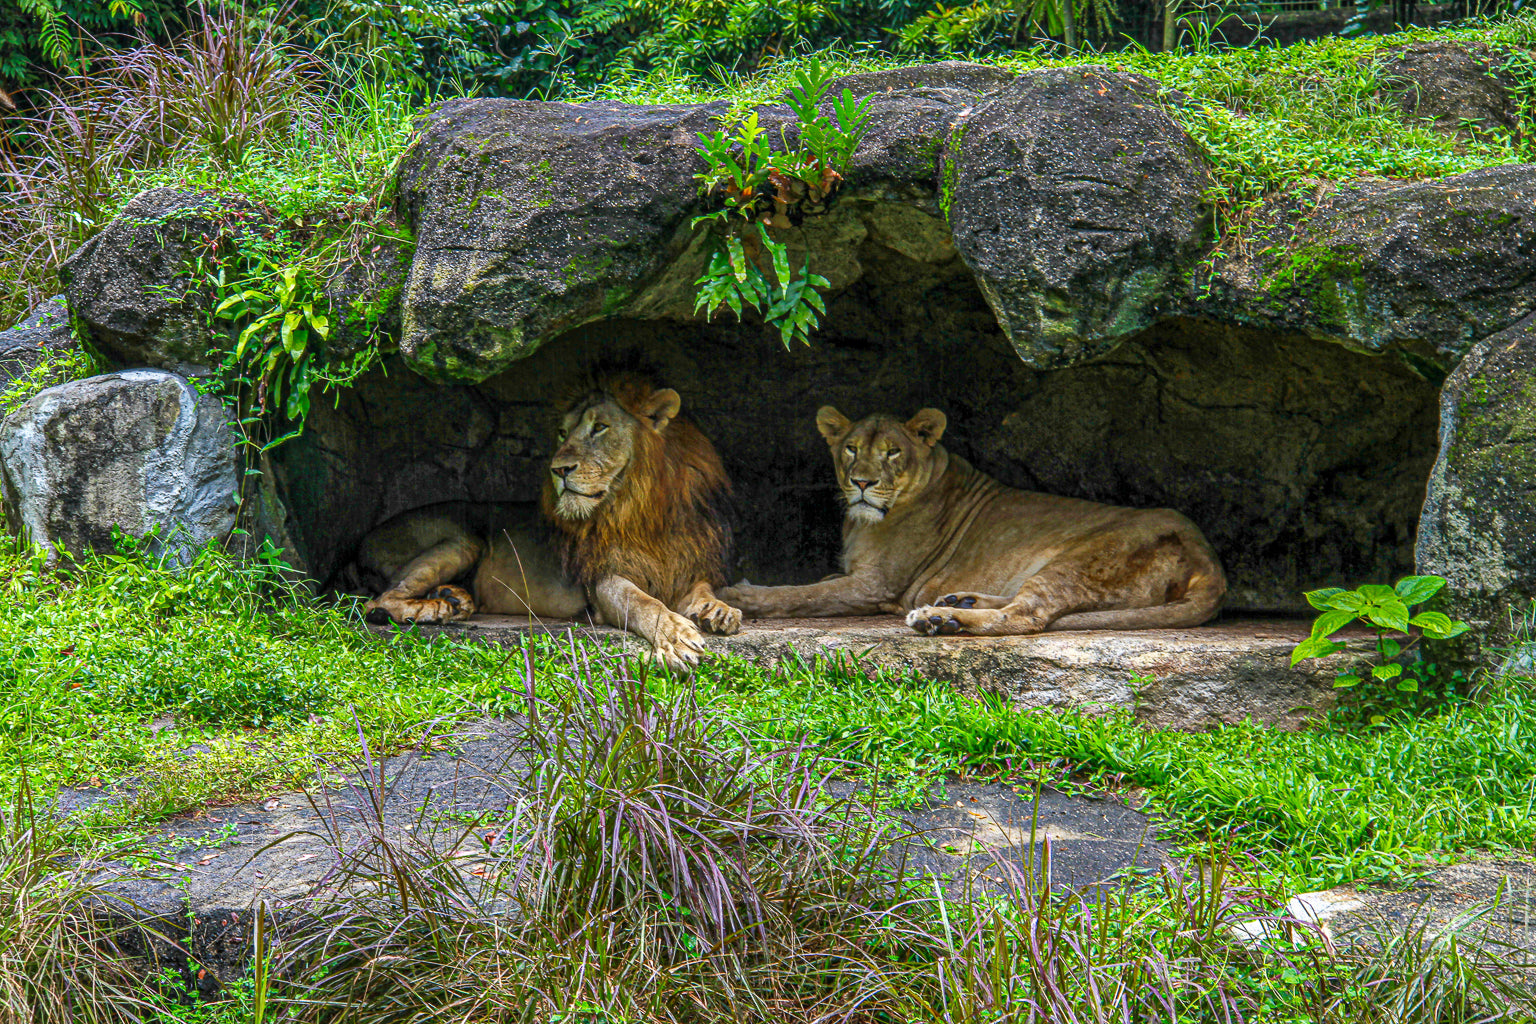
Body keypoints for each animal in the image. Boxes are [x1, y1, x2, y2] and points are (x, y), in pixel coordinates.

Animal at [358, 370, 741, 671]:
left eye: (600, 428)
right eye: (562, 433)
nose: (558, 469)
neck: (641, 511)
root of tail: (359, 541)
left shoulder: (686, 565)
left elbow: (702, 589)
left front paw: (718, 610)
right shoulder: (603, 580)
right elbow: (644, 603)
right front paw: (676, 637)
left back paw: (453, 599)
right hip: (462, 541)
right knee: (377, 602)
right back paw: (435, 608)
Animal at [719, 406, 1226, 636]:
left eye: (893, 452)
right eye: (850, 448)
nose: (861, 482)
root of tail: (1211, 564)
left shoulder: (875, 586)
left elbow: (802, 594)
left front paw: (739, 595)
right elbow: (816, 584)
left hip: (1081, 559)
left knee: (1028, 614)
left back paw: (941, 618)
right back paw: (958, 600)